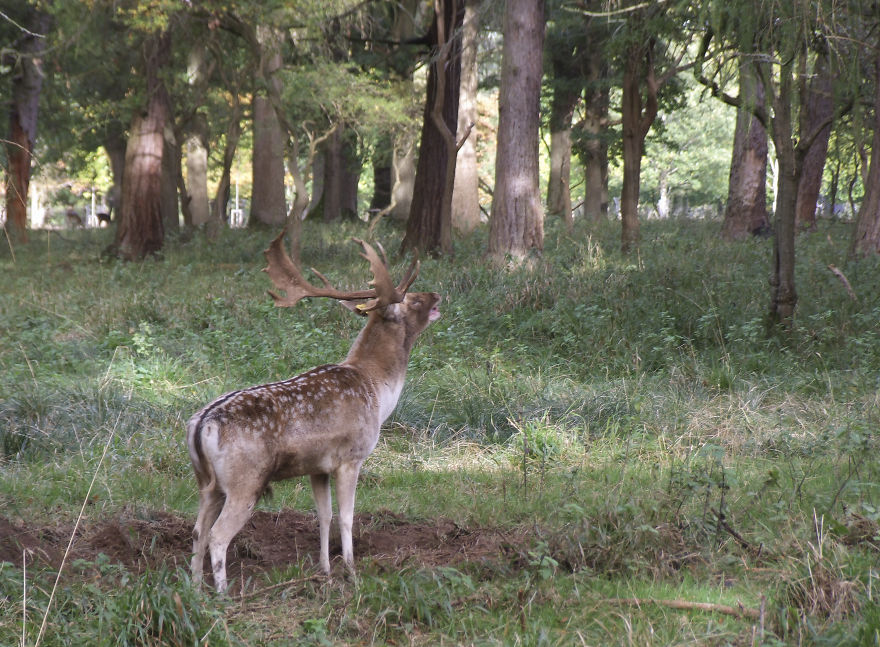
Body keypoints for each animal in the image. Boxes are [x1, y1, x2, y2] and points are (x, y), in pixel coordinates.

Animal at [186, 228, 441, 592]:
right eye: (412, 300)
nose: (436, 295)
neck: (377, 390)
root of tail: (202, 424)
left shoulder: (317, 467)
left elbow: (324, 515)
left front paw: (325, 570)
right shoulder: (351, 456)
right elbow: (347, 517)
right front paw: (351, 572)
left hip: (206, 482)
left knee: (198, 531)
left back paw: (194, 590)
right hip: (245, 480)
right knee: (218, 536)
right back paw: (223, 595)